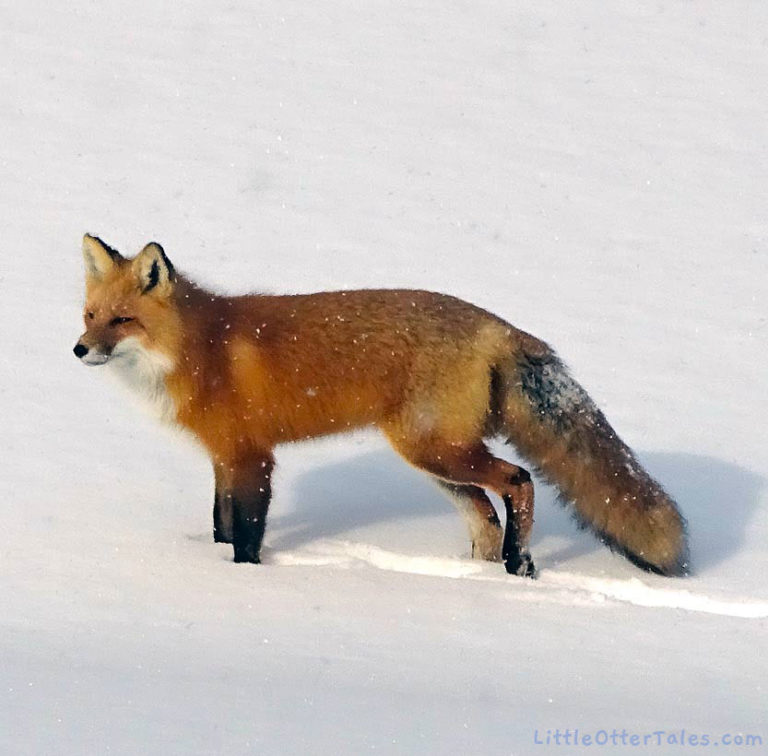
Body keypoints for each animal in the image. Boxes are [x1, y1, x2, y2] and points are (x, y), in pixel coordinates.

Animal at [74, 234, 688, 577]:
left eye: (123, 320)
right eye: (90, 315)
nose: (79, 350)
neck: (203, 350)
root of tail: (498, 325)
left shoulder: (252, 457)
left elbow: (246, 533)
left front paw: (245, 578)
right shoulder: (224, 456)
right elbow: (222, 523)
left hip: (436, 450)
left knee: (518, 482)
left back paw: (521, 564)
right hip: (434, 459)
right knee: (486, 516)